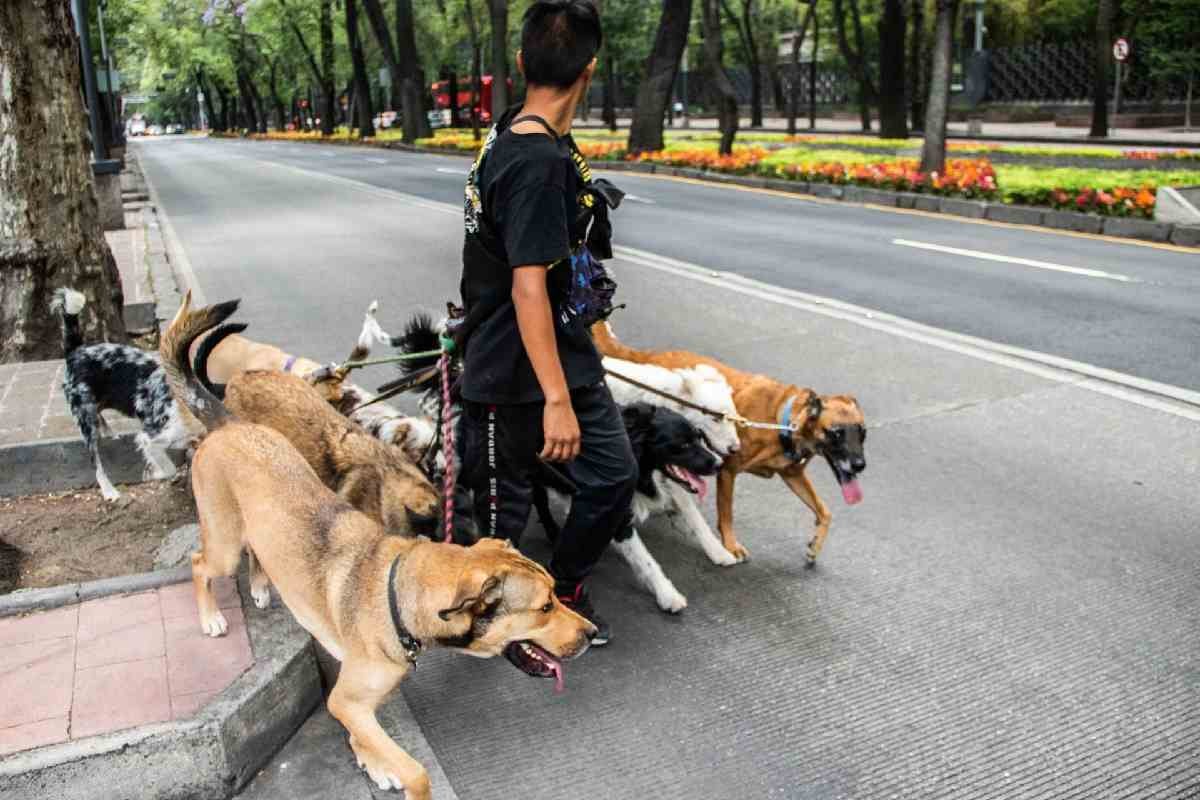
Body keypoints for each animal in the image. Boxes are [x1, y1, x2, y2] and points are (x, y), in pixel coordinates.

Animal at [51, 287, 187, 501]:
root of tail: (76, 351)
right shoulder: (151, 436)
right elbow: (168, 467)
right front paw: (152, 474)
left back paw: (109, 431)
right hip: (85, 419)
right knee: (96, 464)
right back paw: (110, 492)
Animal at [592, 321, 868, 566]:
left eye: (863, 433)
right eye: (836, 433)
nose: (860, 465)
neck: (781, 420)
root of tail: (645, 355)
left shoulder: (793, 475)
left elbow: (825, 512)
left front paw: (815, 546)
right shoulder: (726, 470)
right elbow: (725, 512)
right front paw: (729, 547)